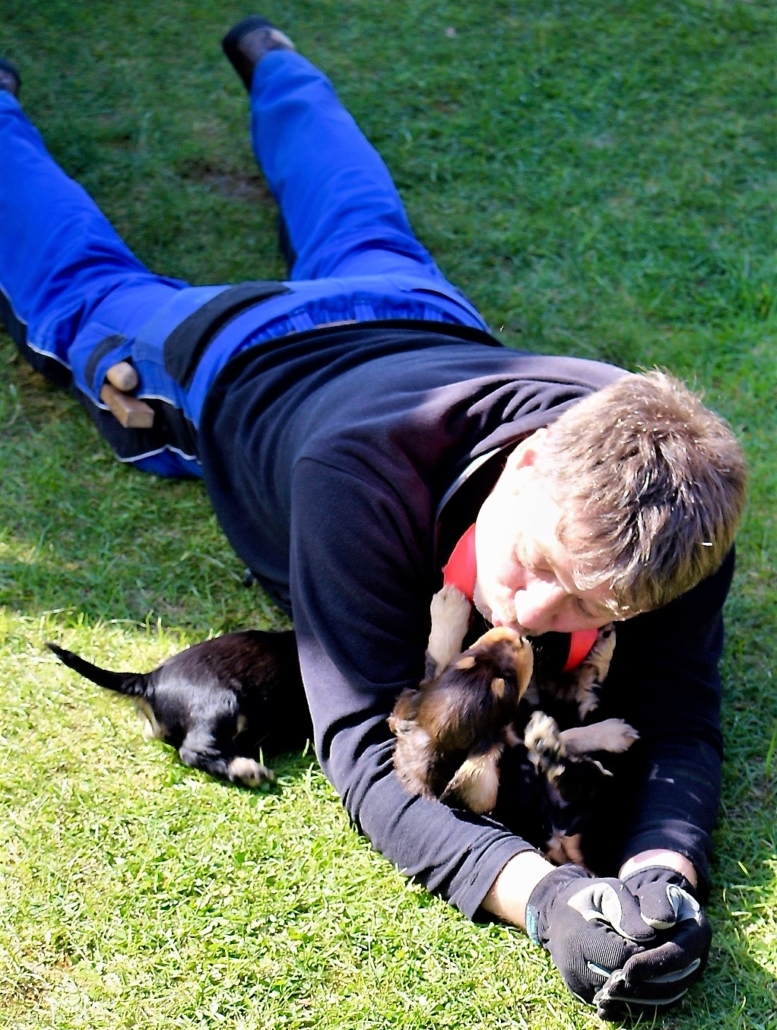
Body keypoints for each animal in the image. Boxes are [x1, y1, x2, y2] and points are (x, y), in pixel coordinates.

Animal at [388, 585, 639, 866]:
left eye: (468, 657)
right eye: (506, 685)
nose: (515, 634)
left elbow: (437, 660)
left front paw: (448, 606)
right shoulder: (513, 737)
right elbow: (566, 734)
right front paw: (610, 733)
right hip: (597, 797)